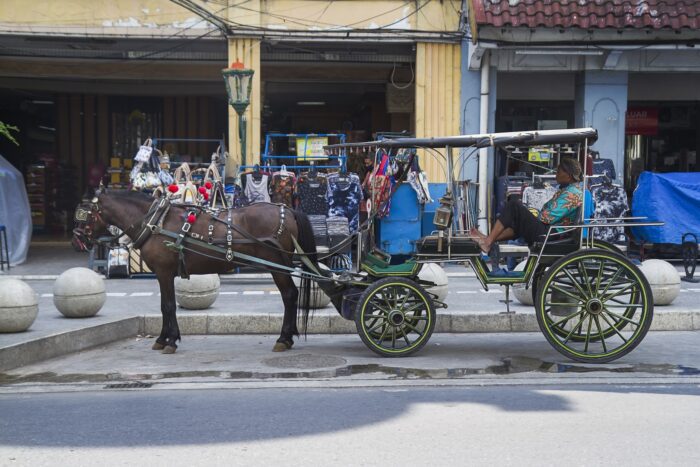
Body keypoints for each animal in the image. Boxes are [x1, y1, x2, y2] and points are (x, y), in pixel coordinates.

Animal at [72, 190, 344, 354]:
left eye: (85, 215)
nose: (77, 239)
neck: (156, 222)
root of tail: (287, 210)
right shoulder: (164, 274)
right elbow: (164, 306)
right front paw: (163, 339)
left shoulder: (163, 271)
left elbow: (168, 306)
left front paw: (170, 341)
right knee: (291, 296)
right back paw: (287, 337)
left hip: (276, 265)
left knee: (289, 296)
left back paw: (283, 338)